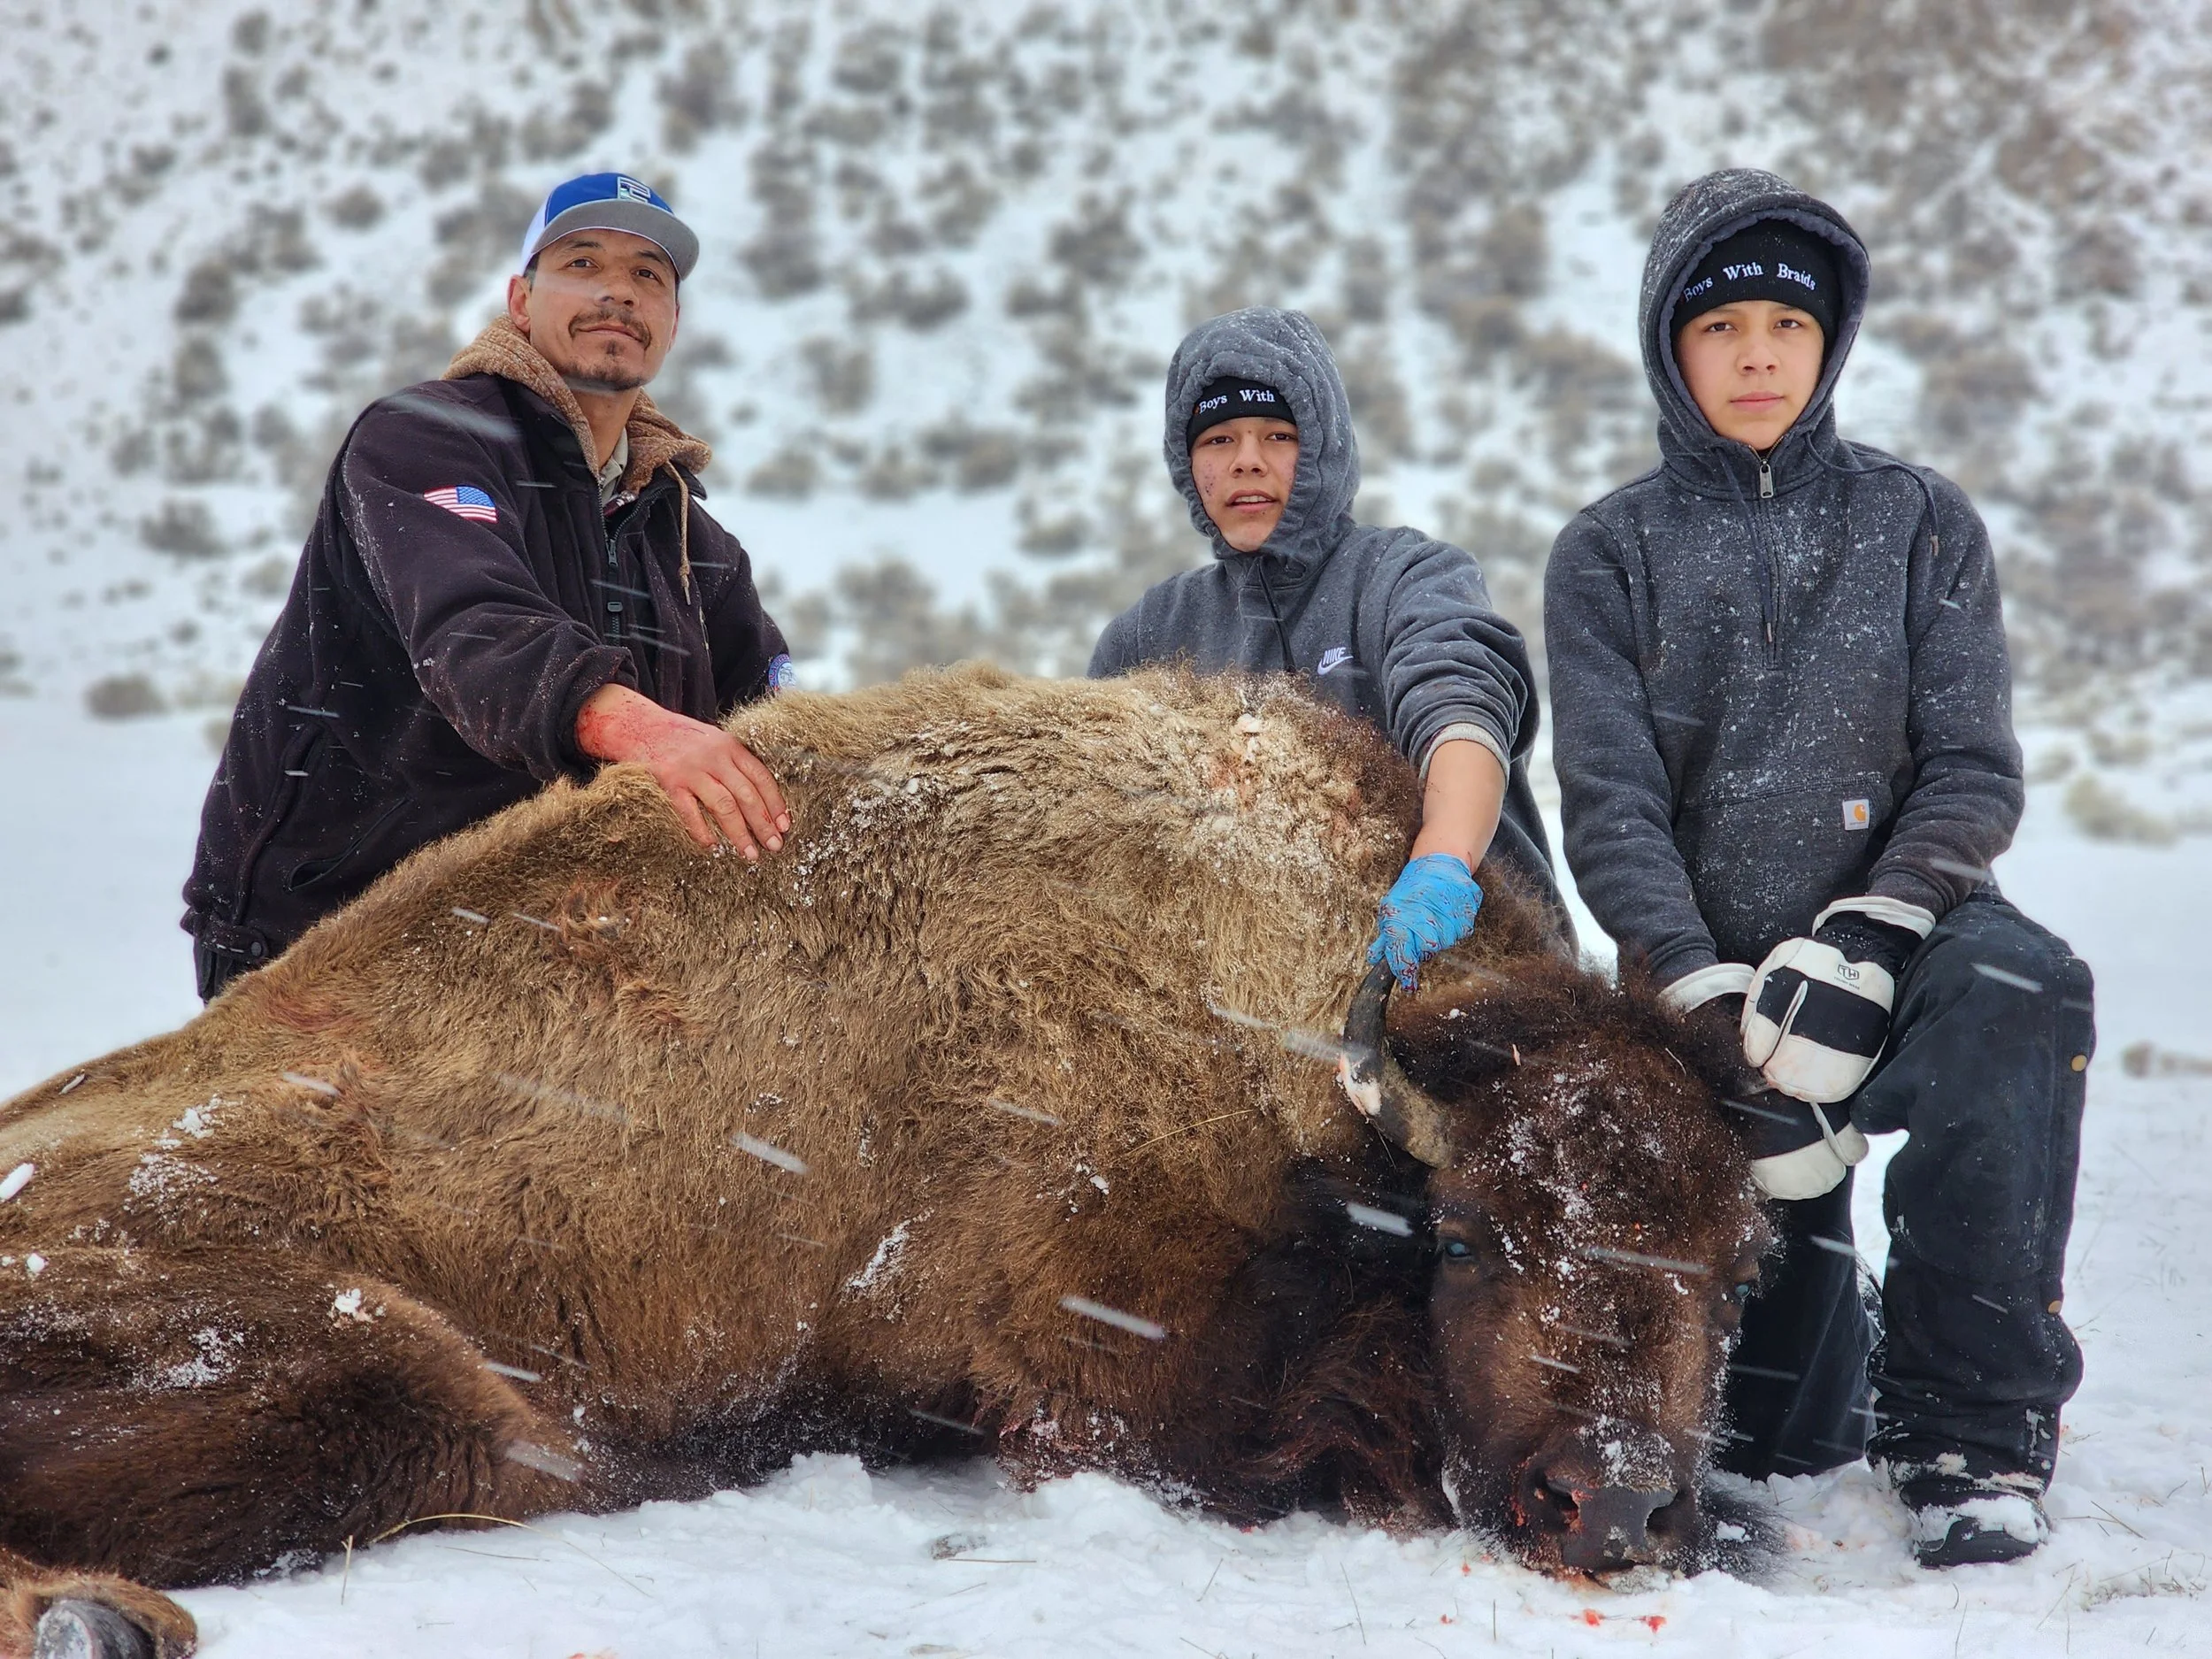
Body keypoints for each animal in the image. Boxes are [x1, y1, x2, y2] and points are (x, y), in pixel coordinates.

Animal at [0, 667, 1768, 1659]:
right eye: (1471, 1235)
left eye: (1740, 1267)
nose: (1614, 1507)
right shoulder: (1116, 1381)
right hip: (349, 1364)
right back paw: (107, 1621)